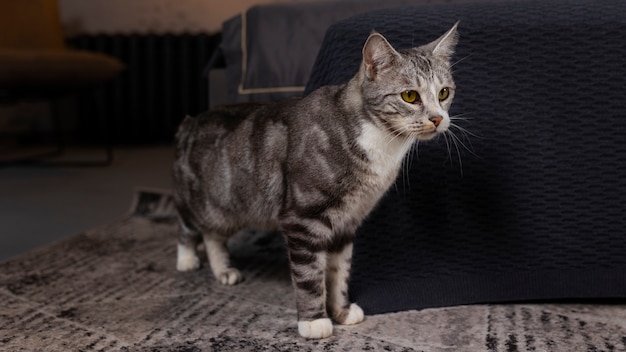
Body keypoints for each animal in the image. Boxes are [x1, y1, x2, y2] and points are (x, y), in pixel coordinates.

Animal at [171, 23, 458, 340]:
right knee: (188, 223)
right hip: (205, 201)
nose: (437, 118)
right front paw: (314, 322)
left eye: (444, 92)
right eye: (409, 96)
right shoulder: (303, 218)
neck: (379, 143)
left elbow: (339, 273)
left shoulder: (346, 222)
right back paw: (186, 259)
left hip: (229, 209)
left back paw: (223, 271)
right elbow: (310, 276)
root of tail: (190, 122)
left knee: (213, 235)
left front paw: (341, 312)